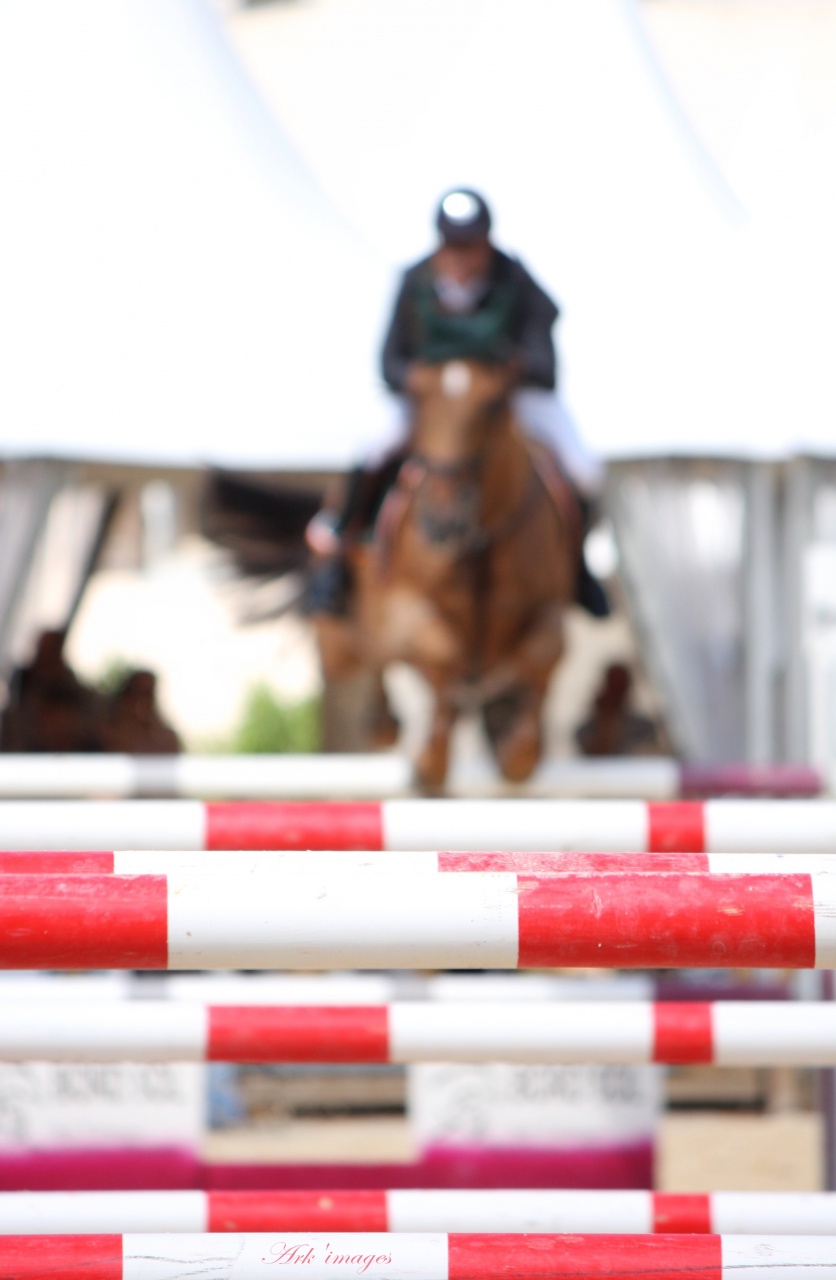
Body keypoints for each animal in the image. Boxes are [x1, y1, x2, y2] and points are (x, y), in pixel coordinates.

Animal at [312, 355, 581, 783]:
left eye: (493, 405)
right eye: (418, 399)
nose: (442, 522)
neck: (480, 541)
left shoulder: (548, 606)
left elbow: (547, 648)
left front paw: (520, 753)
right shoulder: (406, 607)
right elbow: (438, 646)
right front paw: (431, 758)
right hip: (339, 645)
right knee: (370, 659)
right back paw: (385, 723)